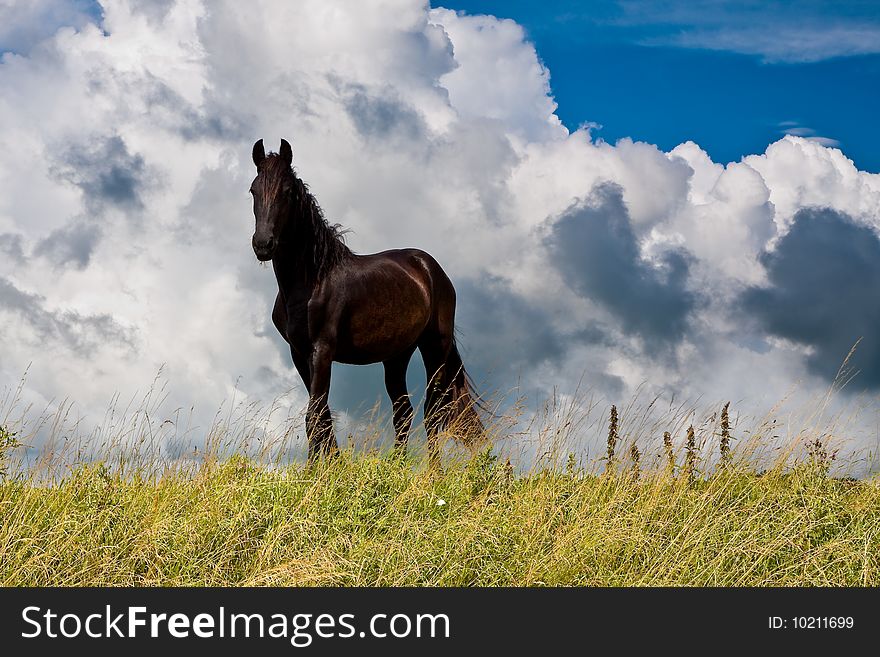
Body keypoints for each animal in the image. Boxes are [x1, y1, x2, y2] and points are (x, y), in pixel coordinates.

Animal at [248, 138, 484, 464]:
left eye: (287, 191)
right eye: (253, 190)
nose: (263, 244)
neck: (310, 281)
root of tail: (431, 269)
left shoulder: (322, 350)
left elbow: (314, 415)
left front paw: (315, 471)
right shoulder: (299, 353)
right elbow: (321, 416)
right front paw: (331, 465)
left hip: (434, 346)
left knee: (433, 412)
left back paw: (432, 470)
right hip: (397, 355)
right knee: (403, 412)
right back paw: (397, 467)